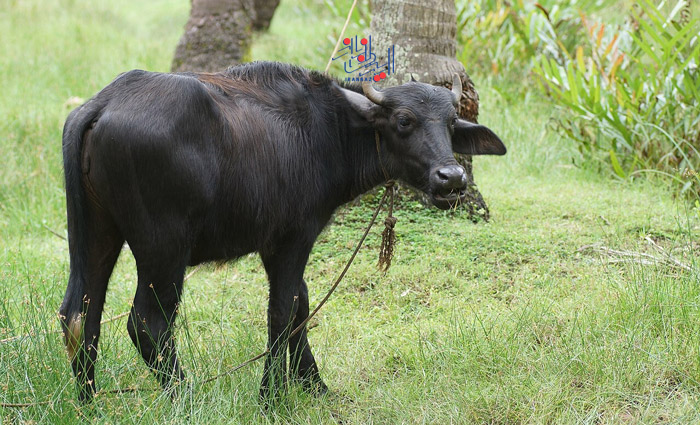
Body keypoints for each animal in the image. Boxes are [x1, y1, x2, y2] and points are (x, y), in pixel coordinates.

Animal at [56, 61, 504, 402]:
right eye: (404, 120)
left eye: (450, 122)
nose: (452, 178)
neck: (331, 132)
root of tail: (103, 104)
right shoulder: (291, 240)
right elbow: (283, 312)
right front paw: (271, 395)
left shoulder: (283, 248)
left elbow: (302, 305)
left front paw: (315, 386)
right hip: (163, 249)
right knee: (147, 322)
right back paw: (186, 395)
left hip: (94, 232)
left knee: (79, 315)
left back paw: (88, 401)